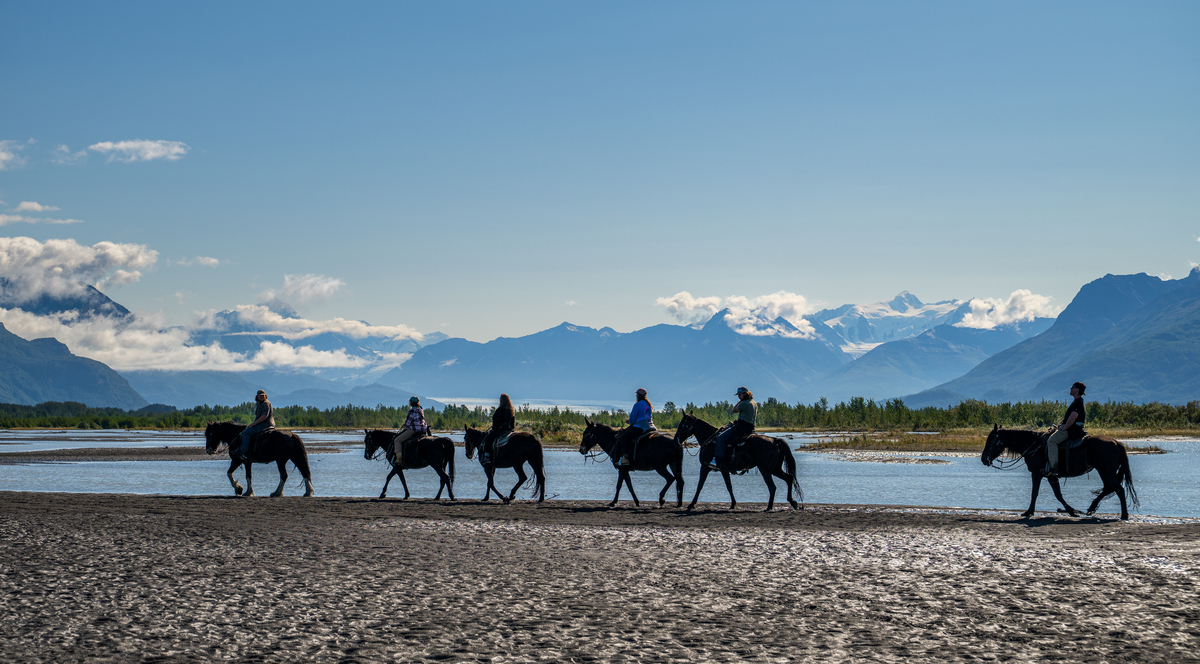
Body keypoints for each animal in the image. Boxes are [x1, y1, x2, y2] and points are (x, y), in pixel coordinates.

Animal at [981, 424, 1139, 520]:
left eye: (991, 441)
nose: (983, 459)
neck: (1035, 446)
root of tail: (1116, 442)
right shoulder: (1049, 475)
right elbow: (1054, 493)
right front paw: (1072, 511)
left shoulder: (1038, 473)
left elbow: (1039, 493)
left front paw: (1029, 511)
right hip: (1105, 472)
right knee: (1108, 489)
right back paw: (1091, 508)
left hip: (1106, 472)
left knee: (1119, 489)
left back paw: (1124, 515)